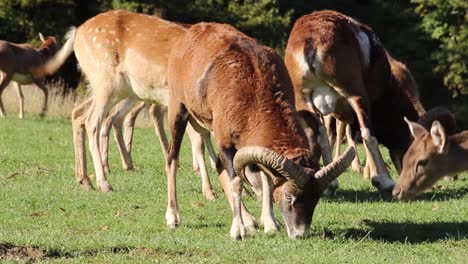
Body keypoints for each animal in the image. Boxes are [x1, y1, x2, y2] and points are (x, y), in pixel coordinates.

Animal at [165, 21, 354, 239]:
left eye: (315, 198)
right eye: (289, 196)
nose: (300, 233)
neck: (253, 88)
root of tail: (190, 34)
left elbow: (266, 181)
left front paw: (270, 224)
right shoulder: (226, 144)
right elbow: (237, 182)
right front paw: (238, 232)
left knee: (219, 167)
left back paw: (250, 221)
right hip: (178, 112)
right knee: (172, 159)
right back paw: (173, 217)